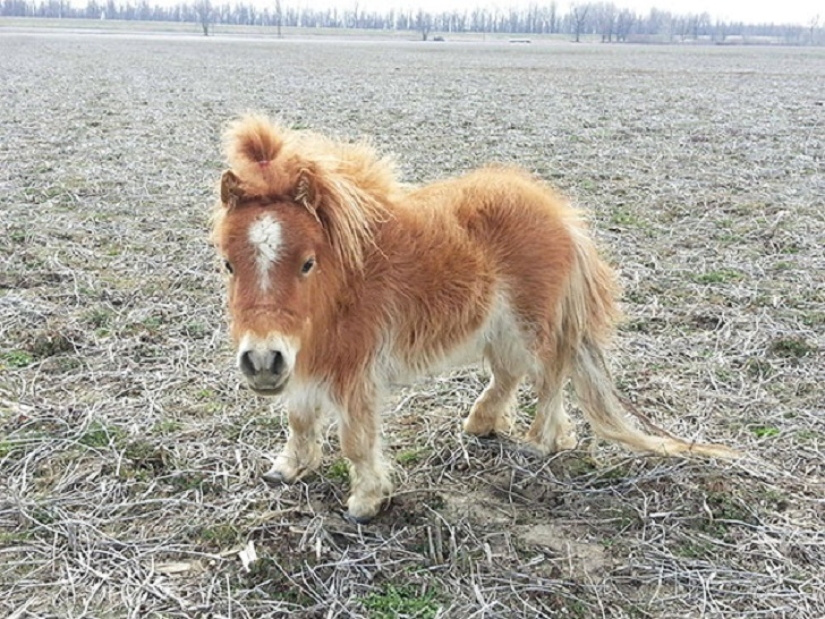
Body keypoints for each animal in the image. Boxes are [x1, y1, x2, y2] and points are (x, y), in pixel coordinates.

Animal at [211, 114, 739, 523]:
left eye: (307, 263)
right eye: (229, 263)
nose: (262, 361)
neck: (345, 280)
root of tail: (561, 214)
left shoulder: (354, 371)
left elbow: (356, 439)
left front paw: (366, 503)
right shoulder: (307, 363)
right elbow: (300, 420)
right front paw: (287, 469)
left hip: (532, 325)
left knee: (550, 377)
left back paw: (539, 444)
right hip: (500, 326)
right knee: (509, 375)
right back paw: (481, 425)